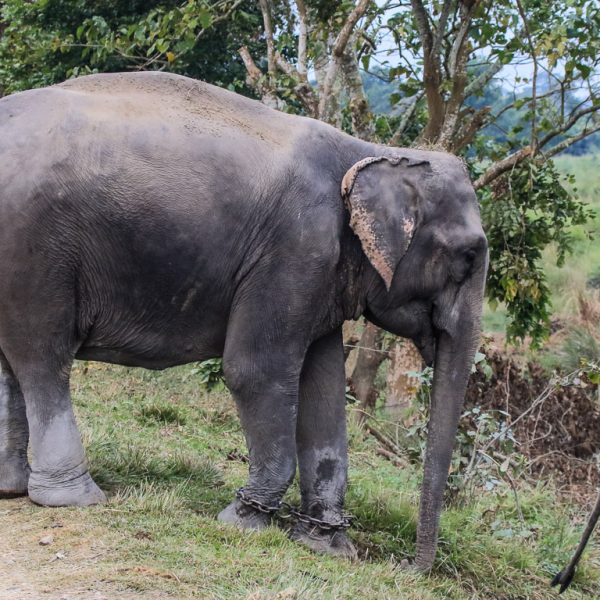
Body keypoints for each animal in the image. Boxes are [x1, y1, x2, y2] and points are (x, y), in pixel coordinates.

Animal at [0, 71, 487, 570]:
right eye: (469, 256)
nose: (408, 567)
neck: (373, 150)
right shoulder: (296, 249)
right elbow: (255, 370)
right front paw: (243, 521)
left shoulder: (320, 276)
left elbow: (324, 391)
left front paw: (327, 546)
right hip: (32, 250)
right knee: (42, 357)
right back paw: (73, 497)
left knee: (11, 364)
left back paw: (11, 489)